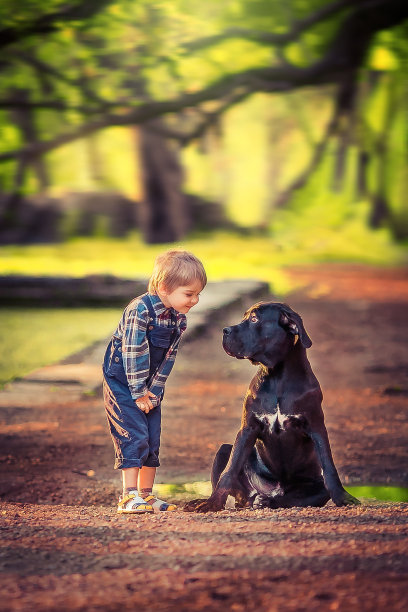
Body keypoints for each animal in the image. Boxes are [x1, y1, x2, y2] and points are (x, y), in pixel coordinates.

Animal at [185, 302, 360, 512]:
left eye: (254, 319)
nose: (225, 330)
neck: (276, 375)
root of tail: (270, 491)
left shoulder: (316, 427)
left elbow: (329, 466)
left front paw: (343, 497)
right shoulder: (247, 428)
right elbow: (229, 470)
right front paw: (213, 503)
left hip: (315, 487)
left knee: (291, 499)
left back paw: (266, 501)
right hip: (223, 451)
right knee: (236, 487)